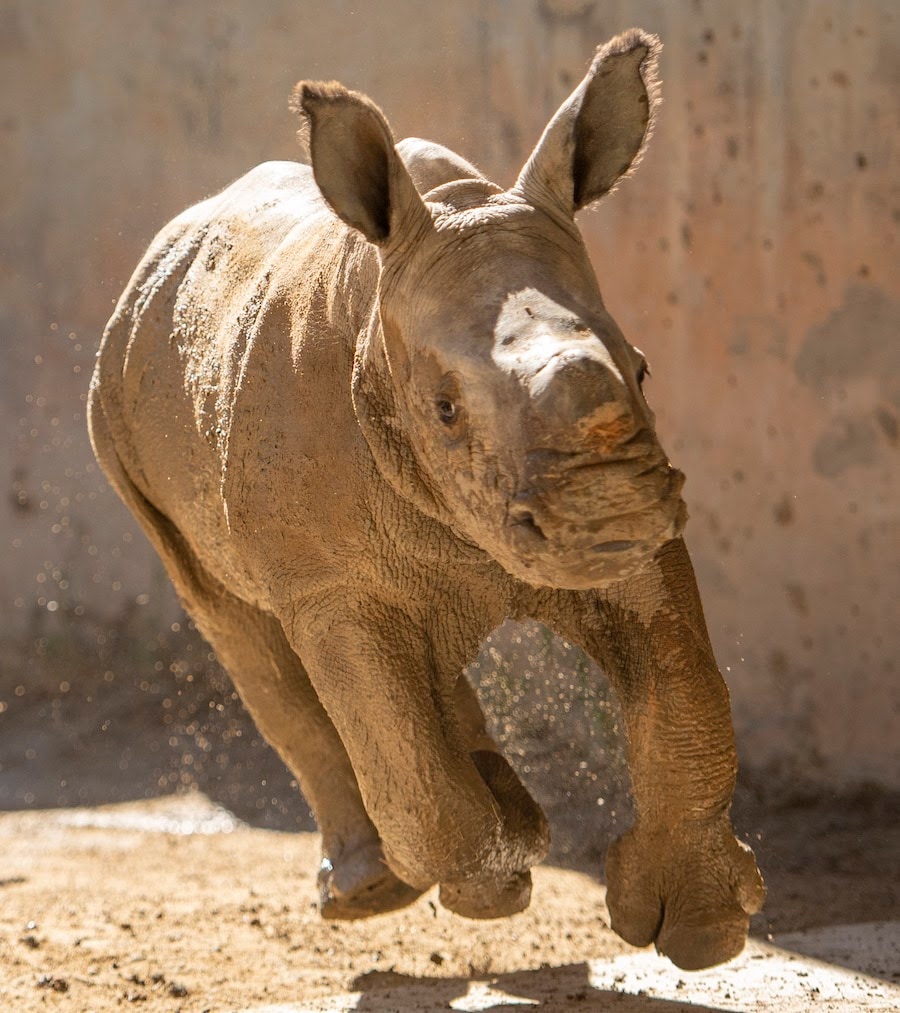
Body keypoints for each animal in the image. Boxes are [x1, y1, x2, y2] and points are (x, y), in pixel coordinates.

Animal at [89, 27, 766, 968]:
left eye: (641, 371)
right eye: (444, 409)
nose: (611, 518)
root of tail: (159, 254)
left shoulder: (632, 533)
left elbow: (687, 692)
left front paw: (699, 931)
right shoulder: (331, 581)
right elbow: (391, 731)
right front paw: (488, 880)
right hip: (118, 424)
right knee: (249, 635)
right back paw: (375, 890)